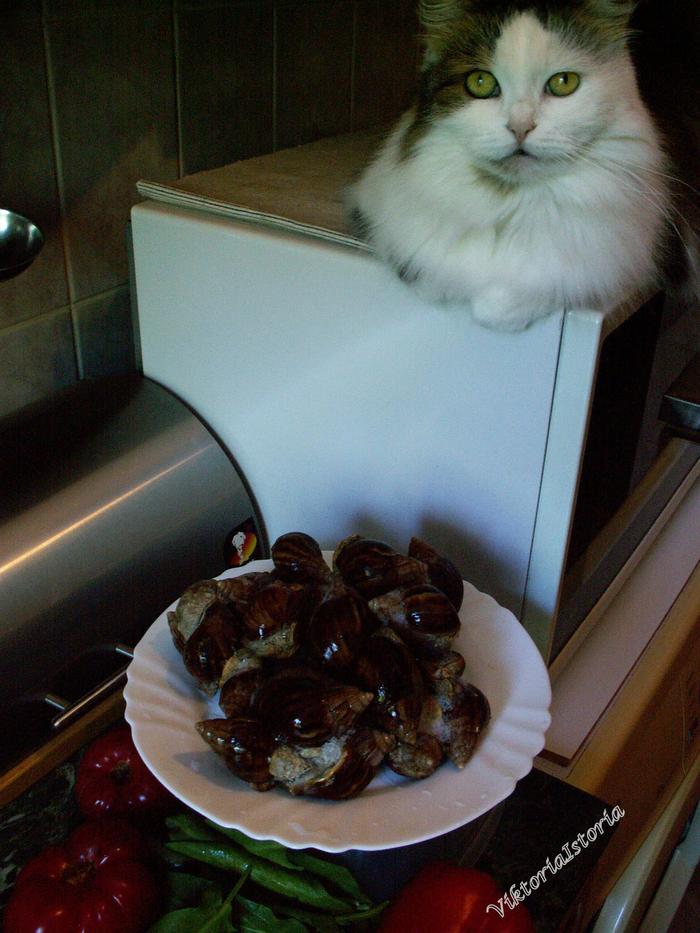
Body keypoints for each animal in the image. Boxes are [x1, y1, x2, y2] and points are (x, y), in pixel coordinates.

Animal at [349, 0, 699, 331]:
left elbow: (535, 289)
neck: (511, 204)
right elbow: (423, 270)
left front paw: (497, 309)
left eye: (563, 82)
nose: (520, 127)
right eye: (479, 82)